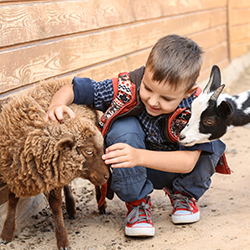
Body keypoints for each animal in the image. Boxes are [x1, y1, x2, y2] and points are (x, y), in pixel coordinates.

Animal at [0, 78, 109, 250]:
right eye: (89, 151)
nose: (107, 176)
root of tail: (62, 79)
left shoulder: (50, 174)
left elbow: (56, 206)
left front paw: (62, 239)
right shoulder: (14, 172)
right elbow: (11, 200)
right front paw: (7, 232)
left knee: (92, 185)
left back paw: (101, 205)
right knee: (67, 184)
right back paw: (71, 208)